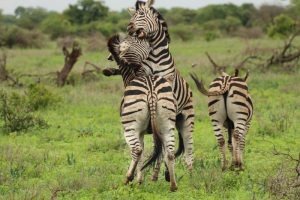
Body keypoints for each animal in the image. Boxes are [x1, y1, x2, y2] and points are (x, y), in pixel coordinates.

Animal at [105, 0, 195, 171]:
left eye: (141, 14)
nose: (129, 27)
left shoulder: (167, 83)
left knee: (188, 149)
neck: (155, 59)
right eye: (132, 15)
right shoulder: (143, 75)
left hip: (187, 118)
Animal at [108, 34, 178, 191]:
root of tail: (151, 90)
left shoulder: (139, 131)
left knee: (137, 150)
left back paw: (127, 179)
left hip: (130, 128)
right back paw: (173, 185)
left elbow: (141, 153)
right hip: (167, 124)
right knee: (170, 152)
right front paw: (141, 179)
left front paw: (138, 180)